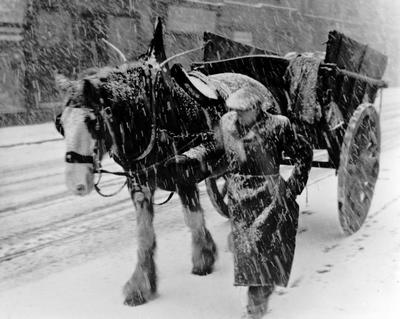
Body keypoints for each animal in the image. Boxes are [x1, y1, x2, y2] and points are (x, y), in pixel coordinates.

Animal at [54, 18, 276, 308]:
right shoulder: (139, 182)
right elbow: (144, 234)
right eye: (60, 124)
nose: (76, 183)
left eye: (93, 122)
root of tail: (256, 82)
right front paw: (141, 286)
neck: (156, 119)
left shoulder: (185, 173)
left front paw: (204, 258)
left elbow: (193, 218)